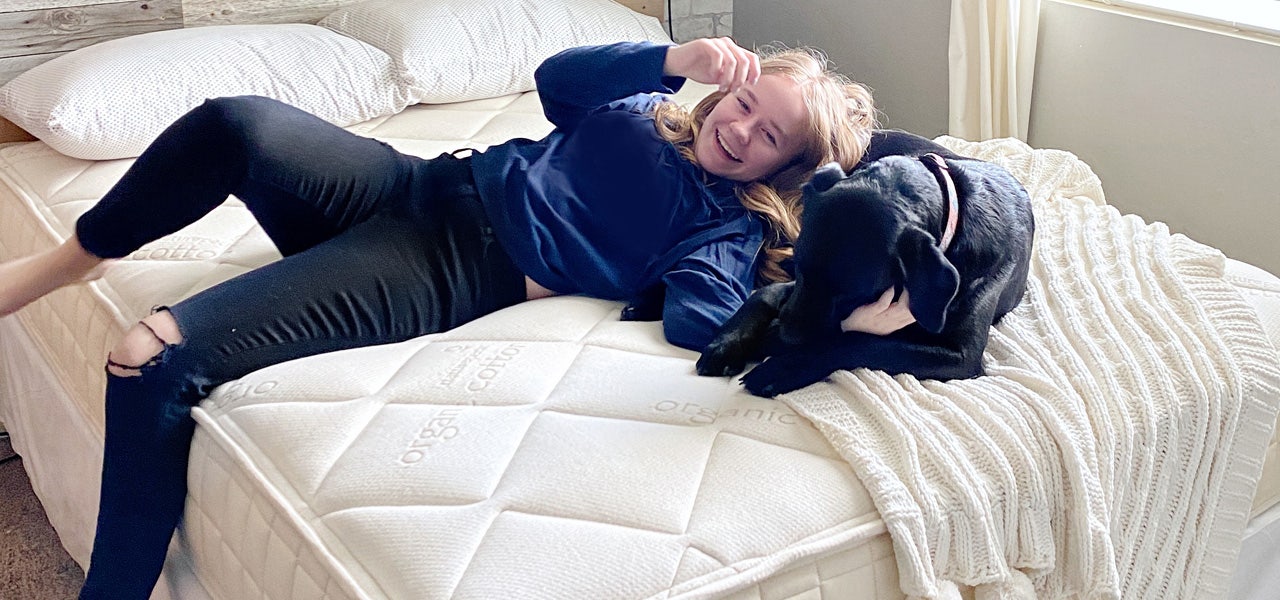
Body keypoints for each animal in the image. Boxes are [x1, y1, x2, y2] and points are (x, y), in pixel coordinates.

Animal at [696, 128, 1034, 394]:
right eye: (801, 268)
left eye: (851, 295)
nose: (787, 332)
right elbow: (764, 294)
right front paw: (727, 341)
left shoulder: (962, 355)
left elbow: (859, 342)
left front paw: (781, 365)